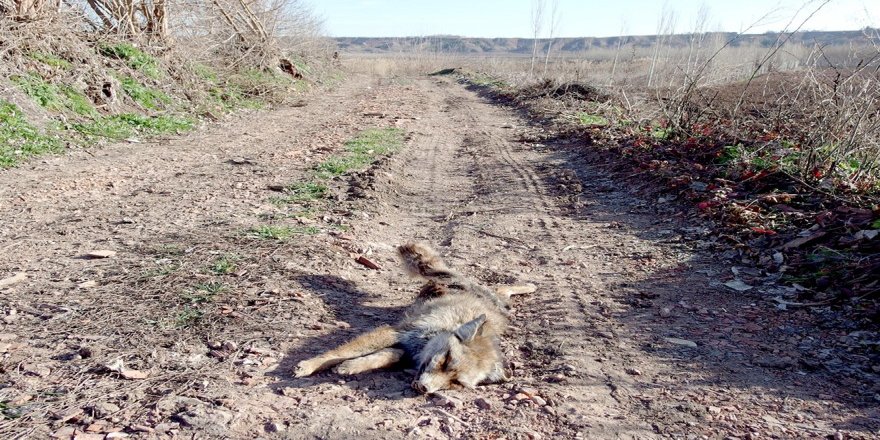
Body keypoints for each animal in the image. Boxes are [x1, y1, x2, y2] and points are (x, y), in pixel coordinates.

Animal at [294, 242, 536, 394]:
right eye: (446, 361)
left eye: (456, 383)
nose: (424, 389)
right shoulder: (399, 331)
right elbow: (338, 353)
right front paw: (310, 365)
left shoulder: (406, 350)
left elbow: (384, 356)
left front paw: (352, 367)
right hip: (430, 272)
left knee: (504, 291)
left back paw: (529, 286)